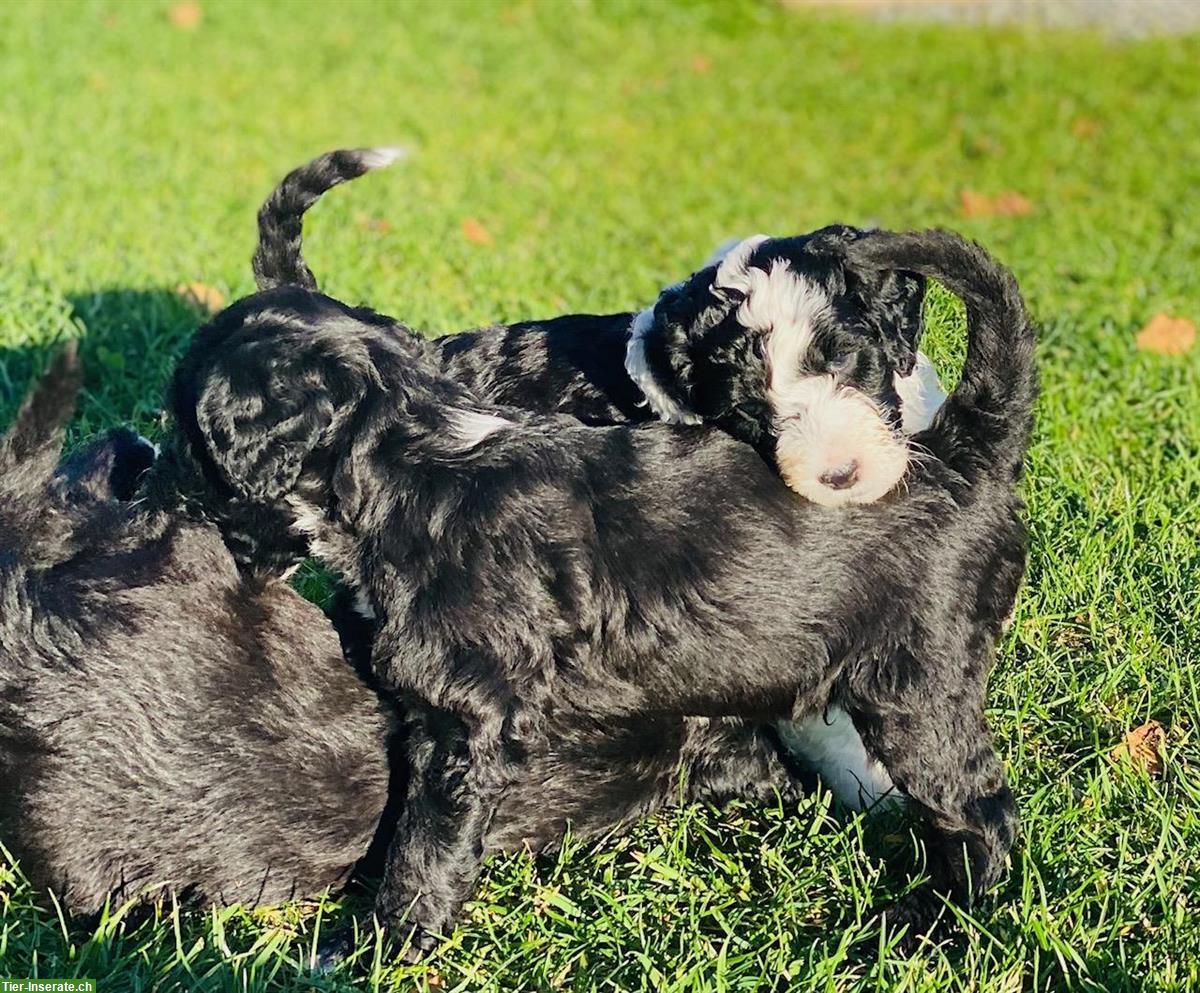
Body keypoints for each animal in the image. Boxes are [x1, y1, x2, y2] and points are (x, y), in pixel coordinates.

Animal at [171, 203, 1041, 964]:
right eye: (747, 406)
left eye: (189, 436)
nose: (160, 489)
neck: (412, 455)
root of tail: (961, 451)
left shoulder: (470, 714)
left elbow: (426, 839)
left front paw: (387, 944)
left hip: (916, 682)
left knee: (981, 810)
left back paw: (941, 925)